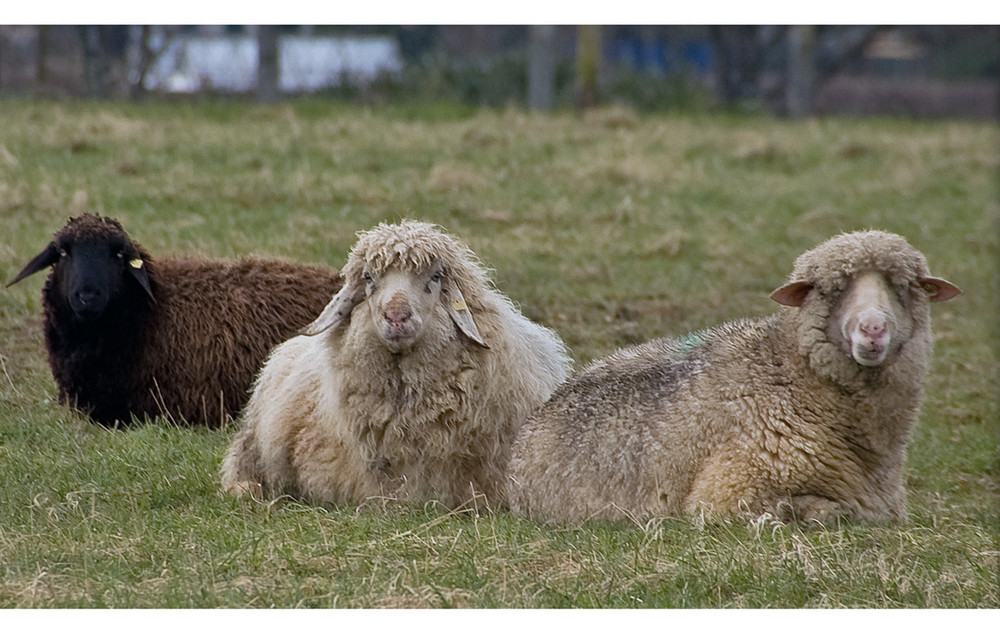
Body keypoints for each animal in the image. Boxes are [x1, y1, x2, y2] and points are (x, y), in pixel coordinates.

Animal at [508, 231, 960, 524]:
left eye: (903, 285)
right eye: (829, 289)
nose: (873, 329)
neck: (783, 370)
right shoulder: (726, 493)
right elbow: (829, 511)